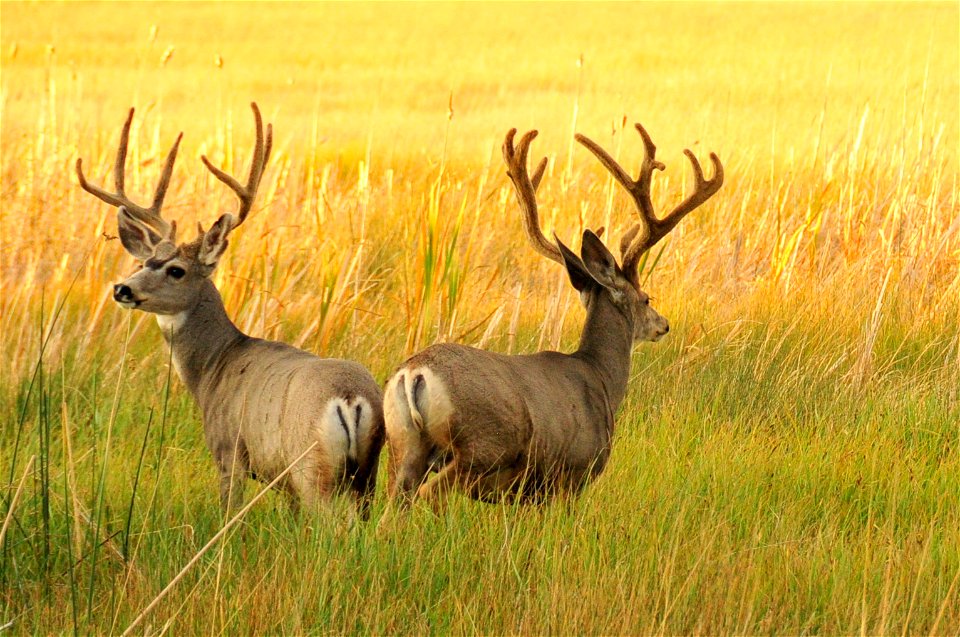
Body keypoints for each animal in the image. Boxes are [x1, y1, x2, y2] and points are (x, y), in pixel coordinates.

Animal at [76, 103, 382, 512]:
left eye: (177, 270)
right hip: (367, 475)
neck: (213, 368)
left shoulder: (228, 450)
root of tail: (351, 399)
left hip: (311, 468)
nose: (122, 289)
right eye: (143, 262)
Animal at [382, 124, 720, 504]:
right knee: (430, 493)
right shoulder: (572, 475)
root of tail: (413, 374)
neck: (601, 377)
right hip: (481, 446)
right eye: (647, 298)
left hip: (402, 445)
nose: (664, 325)